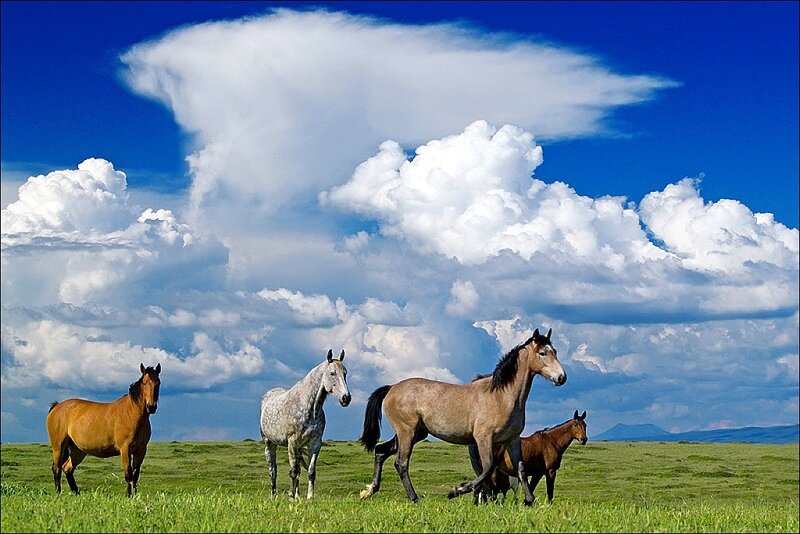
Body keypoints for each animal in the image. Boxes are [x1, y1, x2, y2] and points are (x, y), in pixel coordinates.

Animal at [45, 363, 161, 496]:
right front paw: (128, 495)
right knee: (57, 468)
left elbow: (135, 475)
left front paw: (135, 495)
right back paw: (58, 492)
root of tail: (57, 406)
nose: (151, 407)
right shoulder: (125, 449)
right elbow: (128, 474)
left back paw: (76, 492)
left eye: (158, 383)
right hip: (58, 446)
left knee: (67, 468)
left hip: (77, 450)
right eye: (144, 383)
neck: (132, 414)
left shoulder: (141, 450)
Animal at [260, 349, 351, 499]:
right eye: (332, 373)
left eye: (345, 373)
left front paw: (309, 497)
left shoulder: (315, 443)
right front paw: (291, 498)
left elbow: (310, 471)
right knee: (273, 471)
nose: (346, 398)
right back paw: (274, 496)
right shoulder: (292, 442)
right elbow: (293, 471)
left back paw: (297, 496)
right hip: (269, 443)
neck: (310, 408)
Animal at [358, 328, 566, 506]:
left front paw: (529, 500)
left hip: (416, 433)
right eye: (542, 353)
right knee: (401, 463)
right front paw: (456, 491)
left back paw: (369, 491)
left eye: (555, 351)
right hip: (406, 432)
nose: (562, 377)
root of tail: (392, 388)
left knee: (380, 451)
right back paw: (414, 499)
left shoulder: (512, 439)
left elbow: (520, 469)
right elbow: (487, 468)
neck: (502, 397)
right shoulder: (483, 438)